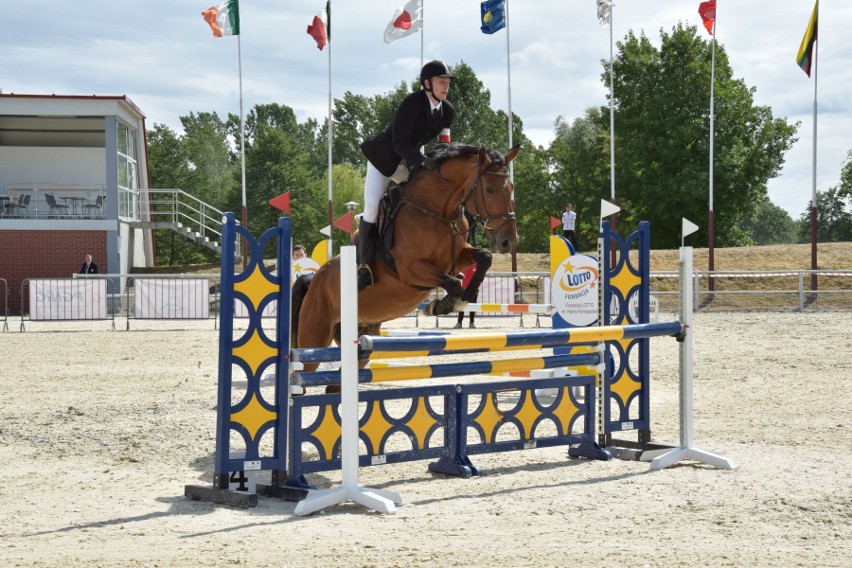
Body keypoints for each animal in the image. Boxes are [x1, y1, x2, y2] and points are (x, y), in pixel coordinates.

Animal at [292, 144, 520, 362]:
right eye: (489, 190)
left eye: (512, 188)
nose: (509, 241)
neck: (438, 212)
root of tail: (314, 279)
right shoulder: (410, 270)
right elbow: (454, 283)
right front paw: (441, 305)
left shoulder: (455, 258)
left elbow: (484, 258)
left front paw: (461, 300)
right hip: (314, 334)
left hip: (363, 332)